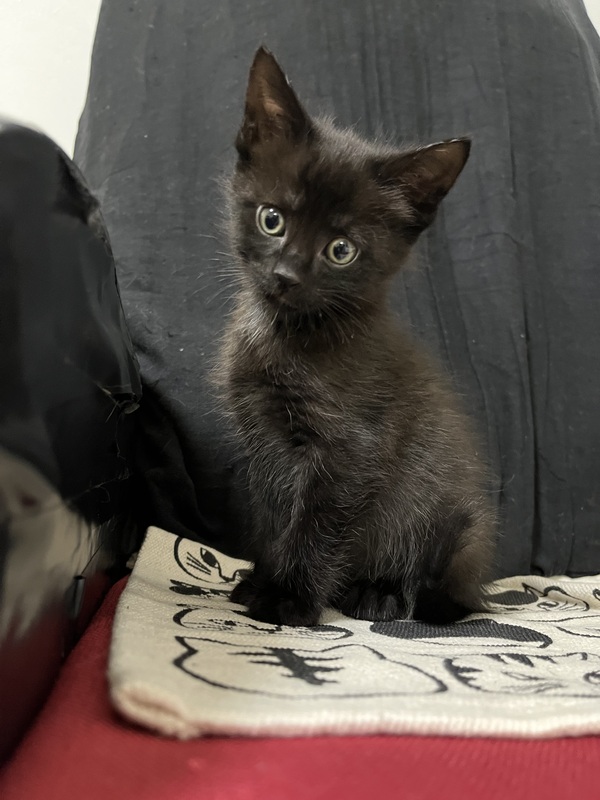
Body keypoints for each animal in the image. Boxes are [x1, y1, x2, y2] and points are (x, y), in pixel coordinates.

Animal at [217, 46, 495, 627]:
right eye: (272, 219)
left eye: (340, 250)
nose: (286, 276)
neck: (291, 336)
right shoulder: (263, 441)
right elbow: (275, 516)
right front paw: (261, 577)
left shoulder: (350, 449)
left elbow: (317, 525)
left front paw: (288, 598)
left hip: (455, 525)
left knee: (442, 585)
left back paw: (380, 592)